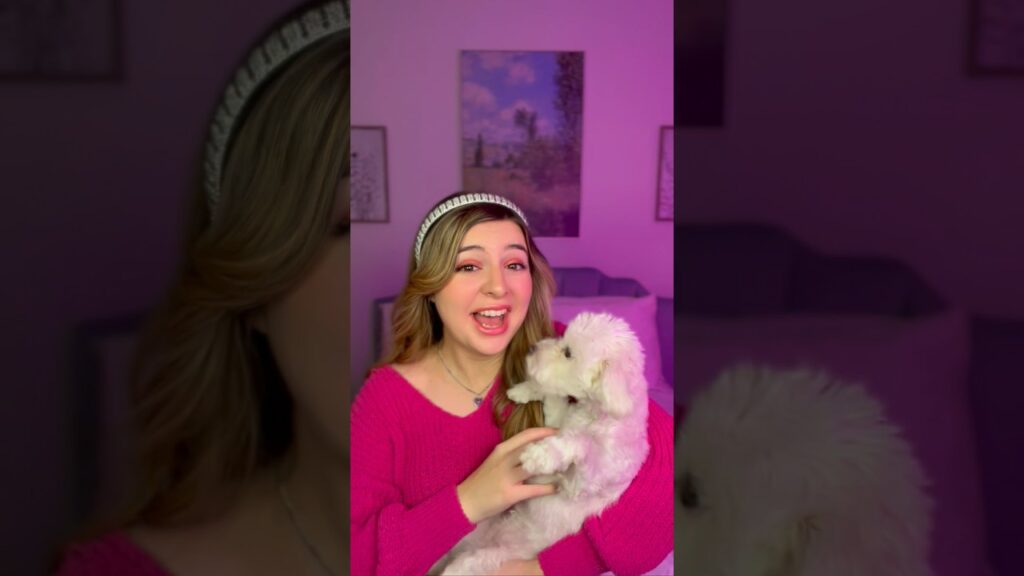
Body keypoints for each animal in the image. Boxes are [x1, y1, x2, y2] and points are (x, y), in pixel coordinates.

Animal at [438, 313, 647, 573]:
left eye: (568, 353)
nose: (532, 347)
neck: (596, 413)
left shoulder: (585, 480)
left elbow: (580, 443)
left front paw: (540, 456)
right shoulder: (557, 422)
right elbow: (554, 401)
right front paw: (525, 389)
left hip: (492, 556)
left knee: (465, 564)